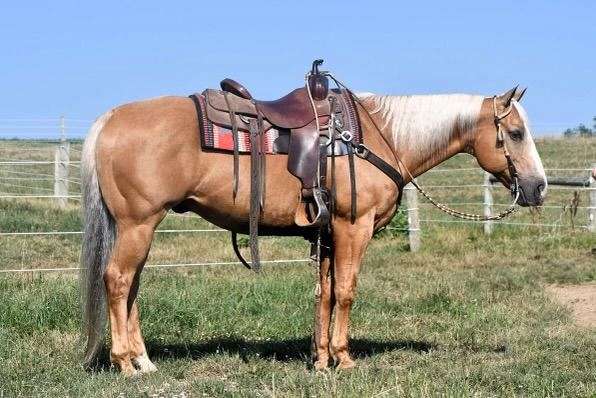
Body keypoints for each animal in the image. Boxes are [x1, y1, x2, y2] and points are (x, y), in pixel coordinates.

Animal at [81, 85, 548, 374]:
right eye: (515, 132)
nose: (539, 187)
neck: (378, 136)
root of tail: (109, 119)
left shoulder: (327, 233)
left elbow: (324, 293)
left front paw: (320, 358)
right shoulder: (353, 228)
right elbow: (346, 290)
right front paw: (344, 358)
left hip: (139, 227)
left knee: (132, 285)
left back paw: (144, 361)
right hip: (138, 224)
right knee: (118, 280)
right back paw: (124, 363)